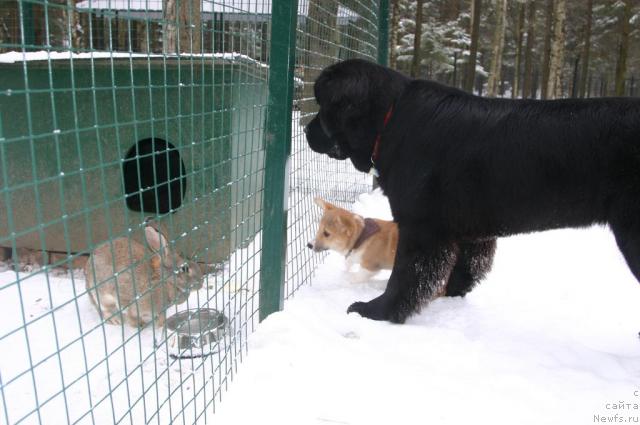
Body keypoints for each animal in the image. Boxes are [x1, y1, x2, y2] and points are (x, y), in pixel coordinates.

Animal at [304, 58, 640, 322]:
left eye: (322, 105)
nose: (306, 130)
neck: (390, 119)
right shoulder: (469, 232)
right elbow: (464, 270)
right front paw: (447, 297)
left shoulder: (422, 227)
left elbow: (407, 275)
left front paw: (377, 311)